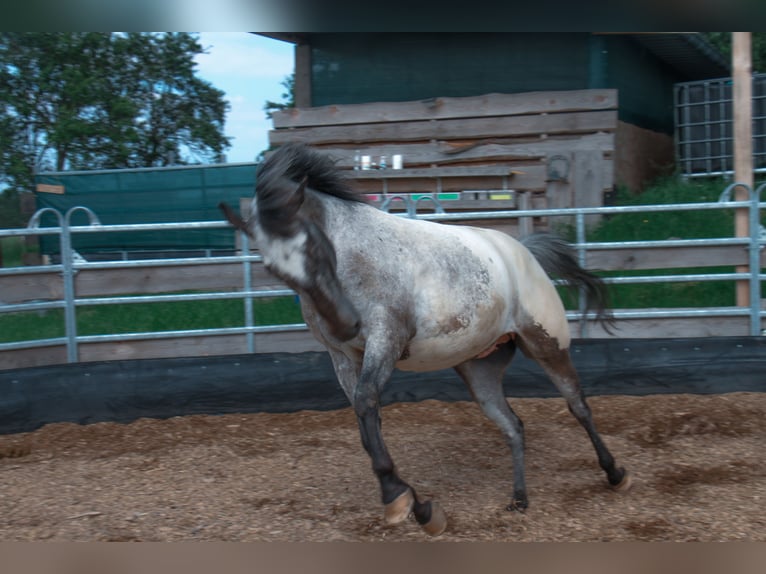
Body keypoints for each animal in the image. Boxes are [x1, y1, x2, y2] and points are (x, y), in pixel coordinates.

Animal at [219, 142, 632, 536]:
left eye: (314, 245)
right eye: (274, 268)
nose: (345, 324)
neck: (356, 257)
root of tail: (524, 252)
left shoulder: (385, 338)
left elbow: (366, 403)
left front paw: (398, 499)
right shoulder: (342, 357)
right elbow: (366, 422)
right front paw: (418, 509)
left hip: (547, 345)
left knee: (578, 406)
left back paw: (615, 474)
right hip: (479, 371)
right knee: (513, 426)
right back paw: (519, 499)